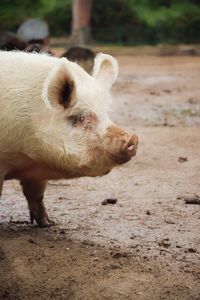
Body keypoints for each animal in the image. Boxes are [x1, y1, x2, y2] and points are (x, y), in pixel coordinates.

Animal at [0, 50, 138, 226]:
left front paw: (48, 223)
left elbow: (36, 196)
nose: (132, 138)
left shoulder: (35, 175)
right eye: (81, 117)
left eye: (105, 113)